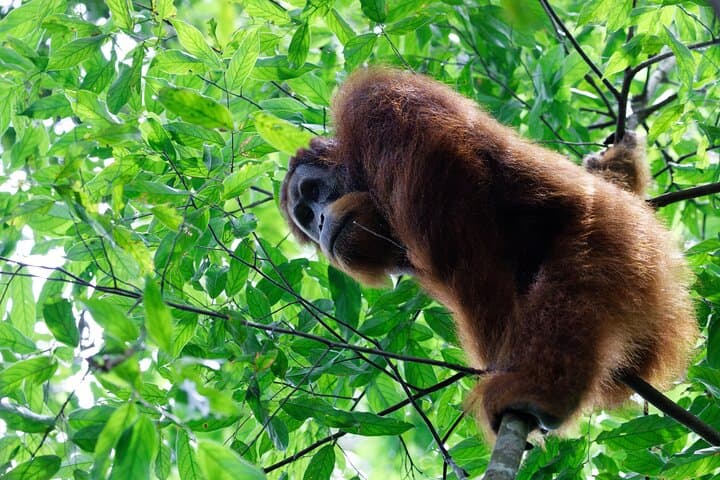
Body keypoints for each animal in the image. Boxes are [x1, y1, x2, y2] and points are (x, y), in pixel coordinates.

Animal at [279, 68, 697, 434]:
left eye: (313, 192)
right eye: (305, 214)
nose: (319, 223)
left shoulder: (377, 105)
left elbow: (457, 216)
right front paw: (617, 158)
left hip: (610, 235)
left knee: (576, 290)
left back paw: (542, 392)